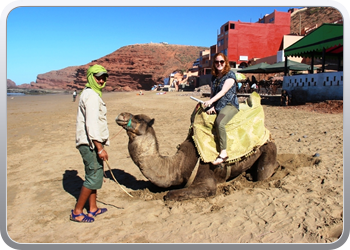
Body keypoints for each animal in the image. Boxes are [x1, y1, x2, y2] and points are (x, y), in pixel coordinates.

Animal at [115, 93, 278, 200]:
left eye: (140, 119)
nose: (121, 115)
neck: (177, 165)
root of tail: (268, 134)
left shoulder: (205, 178)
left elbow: (170, 195)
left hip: (269, 149)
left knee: (263, 174)